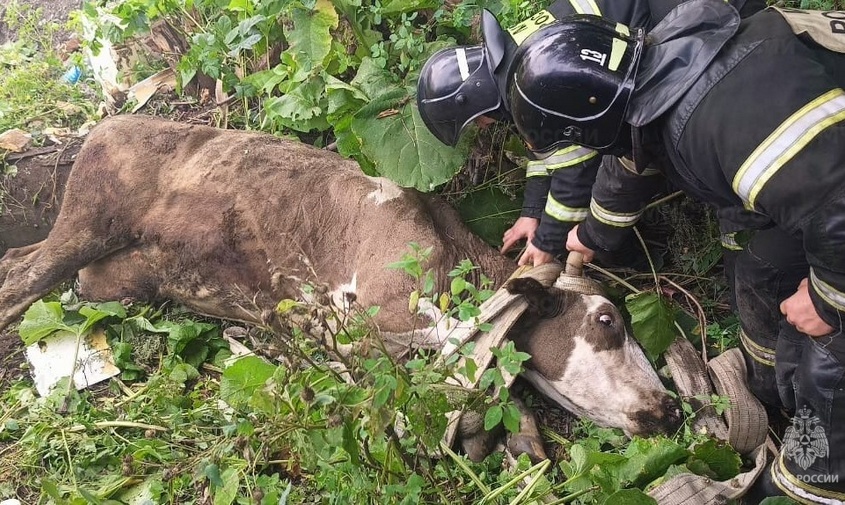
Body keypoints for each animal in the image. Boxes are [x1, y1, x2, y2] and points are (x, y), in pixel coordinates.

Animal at [0, 117, 684, 452]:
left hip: (118, 275)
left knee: (31, 264)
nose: (671, 408)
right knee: (19, 281)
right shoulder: (360, 321)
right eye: (606, 319)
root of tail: (107, 124)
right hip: (91, 219)